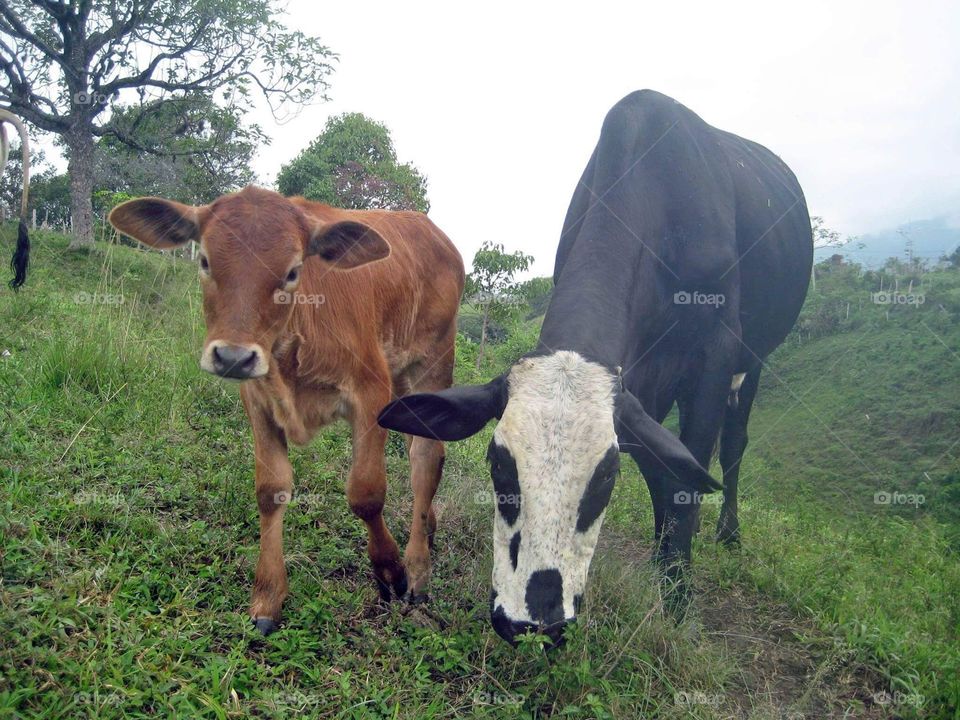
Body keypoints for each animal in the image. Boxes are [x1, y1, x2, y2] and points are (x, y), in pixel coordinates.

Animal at [108, 186, 464, 634]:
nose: (233, 356)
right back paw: (428, 527)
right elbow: (270, 490)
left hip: (433, 364)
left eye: (294, 271)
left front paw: (391, 571)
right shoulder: (258, 400)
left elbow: (365, 493)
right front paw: (267, 597)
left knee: (426, 459)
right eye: (204, 260)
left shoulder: (370, 391)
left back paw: (418, 569)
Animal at [378, 90, 813, 645]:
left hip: (754, 359)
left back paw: (728, 533)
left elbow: (685, 477)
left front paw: (677, 600)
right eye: (498, 464)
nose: (533, 620)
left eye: (606, 478)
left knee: (733, 443)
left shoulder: (714, 355)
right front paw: (663, 569)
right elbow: (663, 468)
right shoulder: (639, 380)